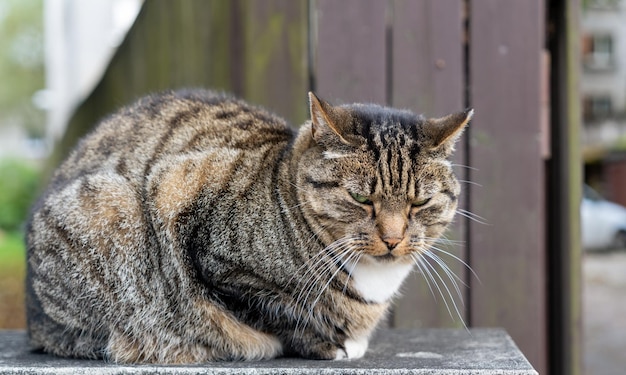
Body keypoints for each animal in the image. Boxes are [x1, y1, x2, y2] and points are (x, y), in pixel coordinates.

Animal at [25, 89, 472, 364]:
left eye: (419, 202)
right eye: (361, 199)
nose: (393, 239)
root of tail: (35, 322)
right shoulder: (187, 214)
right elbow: (279, 310)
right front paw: (327, 344)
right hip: (110, 206)